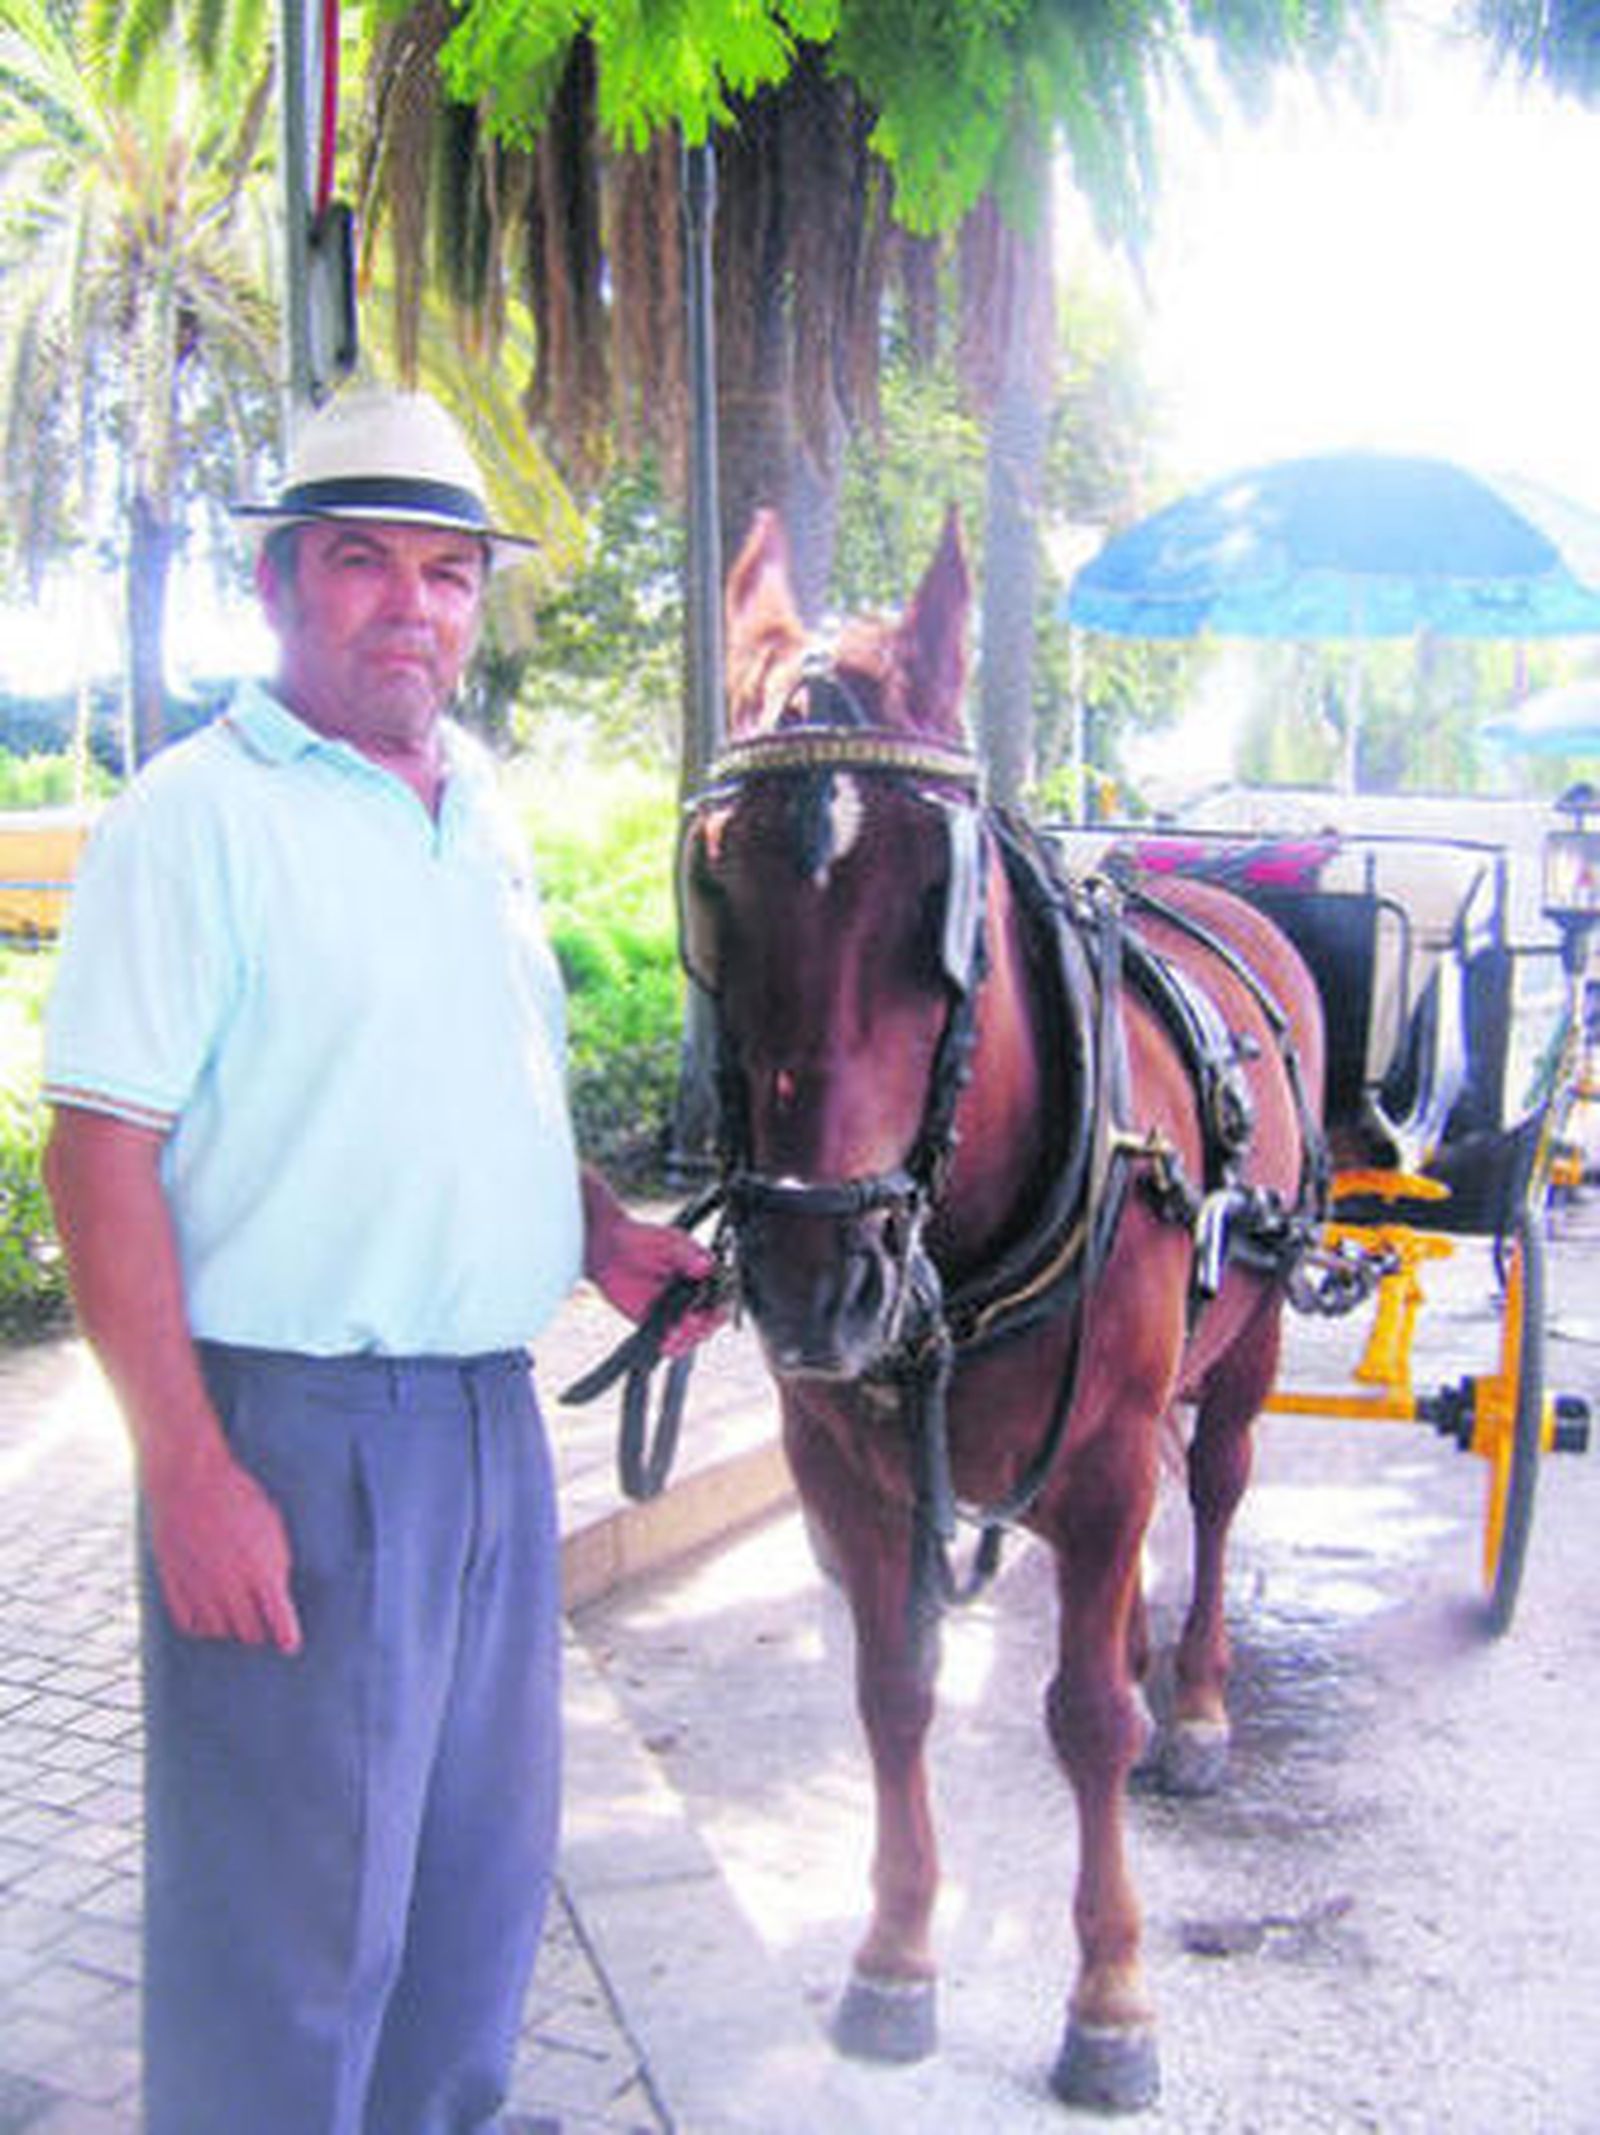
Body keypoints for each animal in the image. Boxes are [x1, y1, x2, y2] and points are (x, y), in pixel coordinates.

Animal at [676, 507, 1328, 2110]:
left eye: (943, 900)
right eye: (712, 884)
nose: (815, 1276)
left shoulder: (1096, 1462)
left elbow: (1084, 1720)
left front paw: (1109, 1998)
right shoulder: (842, 1468)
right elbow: (892, 1689)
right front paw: (897, 1952)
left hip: (1248, 1343)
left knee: (1214, 1489)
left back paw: (1194, 1697)